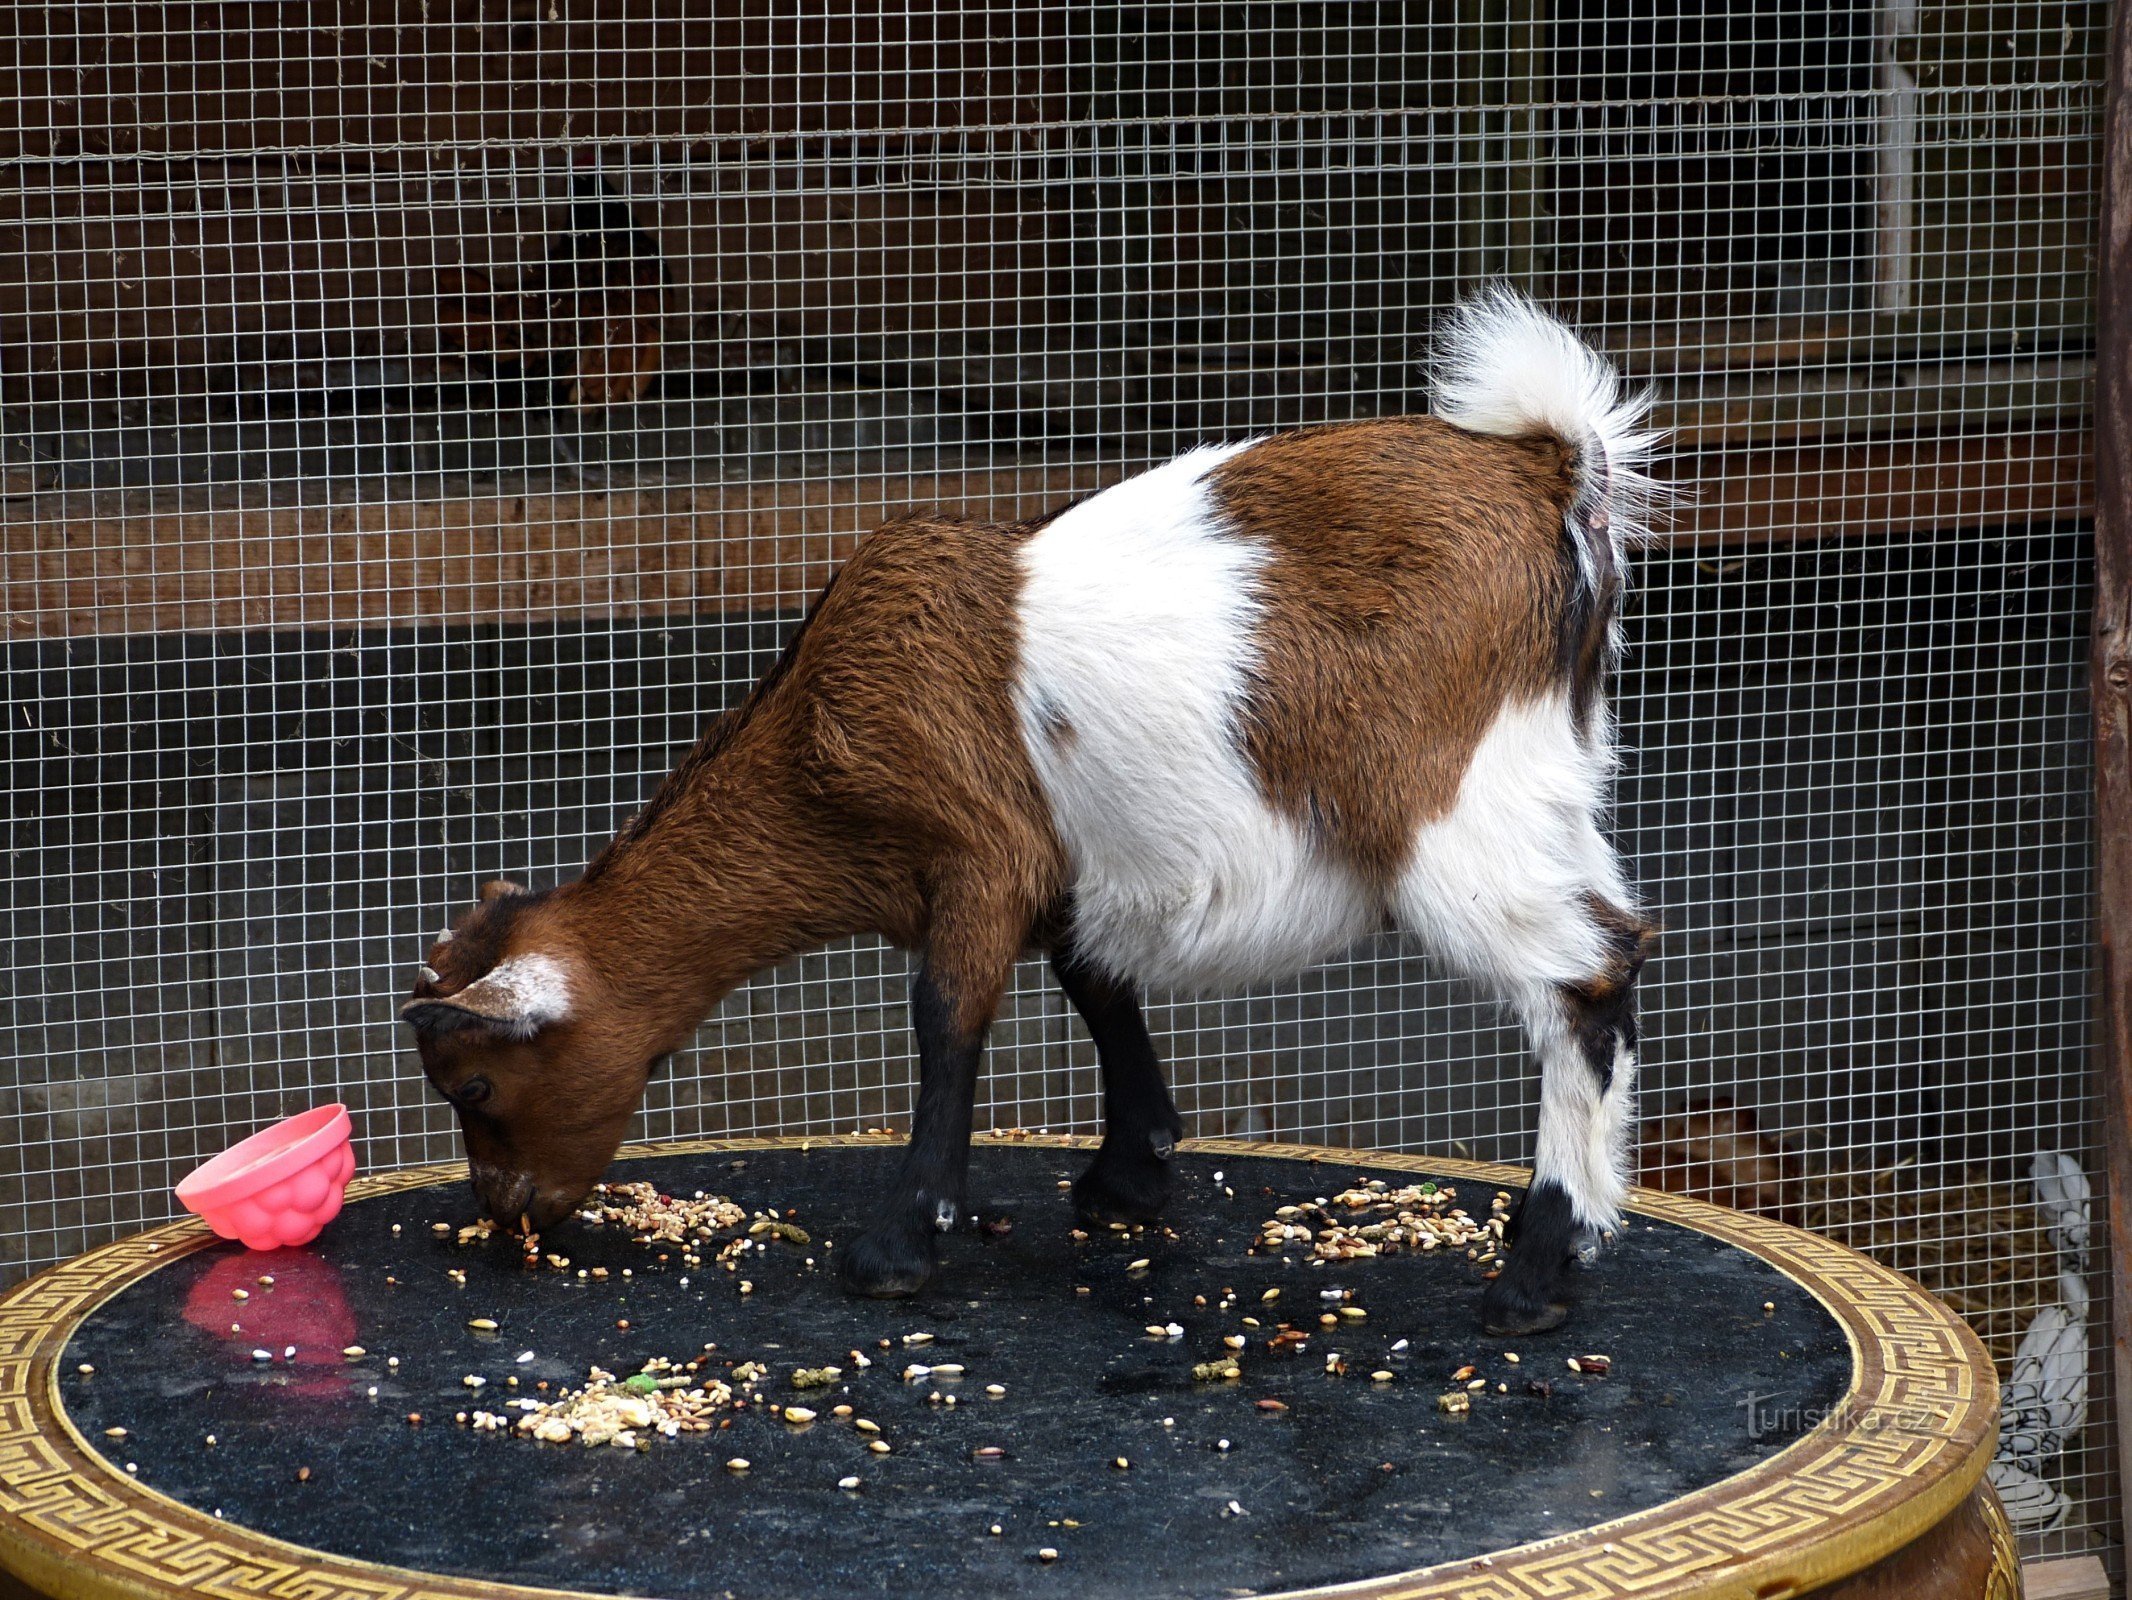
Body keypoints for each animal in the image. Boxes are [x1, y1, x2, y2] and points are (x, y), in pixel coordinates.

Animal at [402, 292, 1662, 1339]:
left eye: (474, 1086)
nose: (506, 1212)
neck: (824, 721)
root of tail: (1552, 473)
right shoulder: (1060, 865)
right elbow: (1095, 986)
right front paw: (1129, 1177)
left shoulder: (975, 855)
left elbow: (946, 1020)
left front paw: (896, 1249)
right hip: (1552, 786)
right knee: (1612, 940)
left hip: (1452, 807)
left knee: (1587, 972)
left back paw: (1537, 1273)